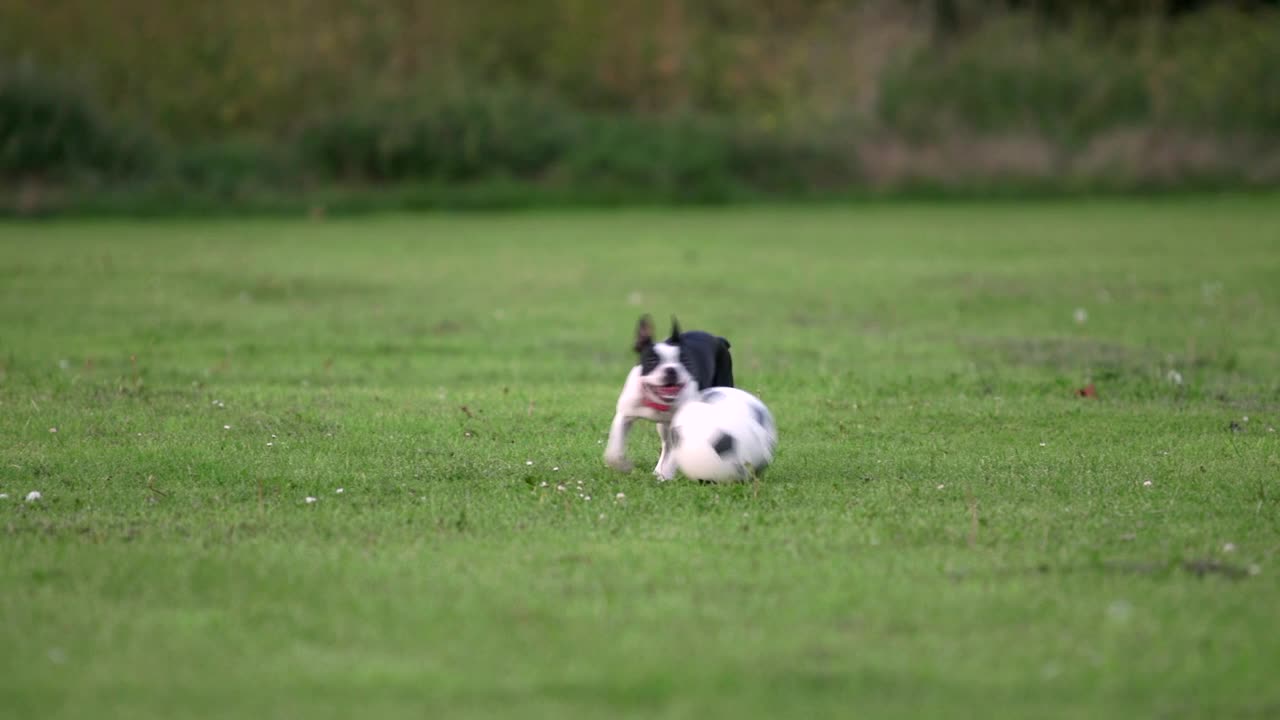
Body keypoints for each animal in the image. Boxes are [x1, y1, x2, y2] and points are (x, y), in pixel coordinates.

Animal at [604, 312, 737, 476]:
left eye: (685, 361)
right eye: (652, 360)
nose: (671, 369)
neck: (658, 400)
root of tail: (719, 339)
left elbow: (675, 454)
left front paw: (666, 475)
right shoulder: (624, 415)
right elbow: (614, 448)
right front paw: (621, 465)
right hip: (662, 427)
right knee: (666, 444)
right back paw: (657, 470)